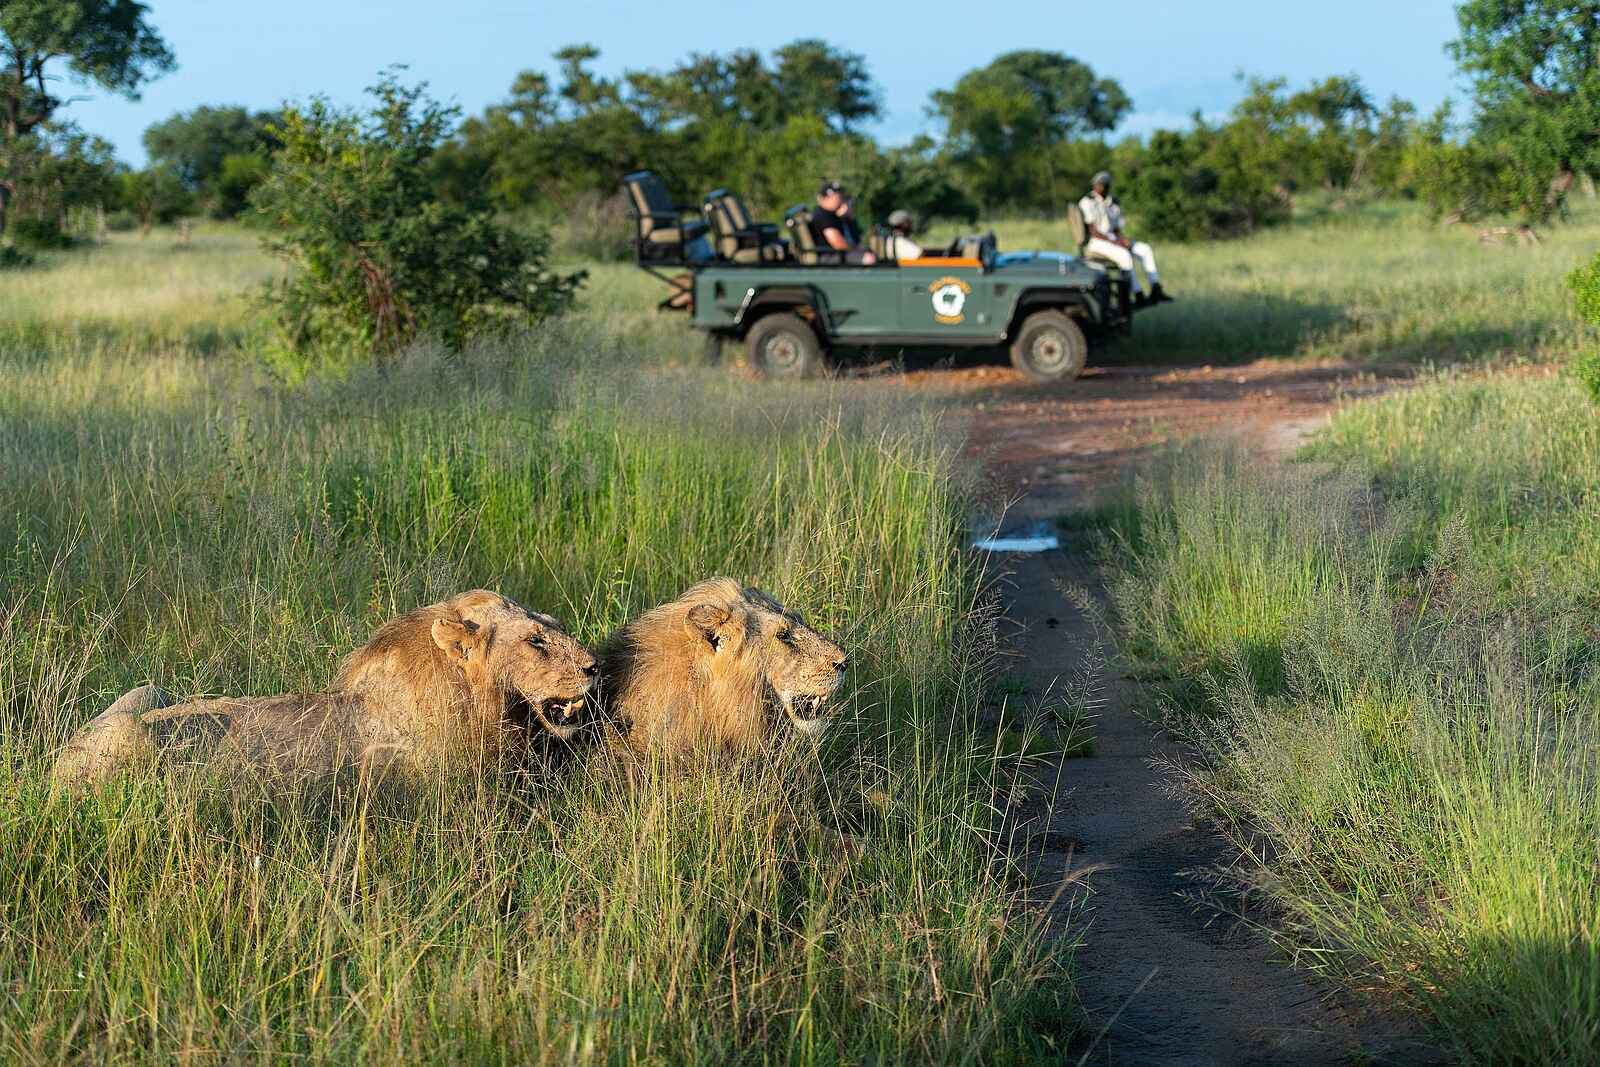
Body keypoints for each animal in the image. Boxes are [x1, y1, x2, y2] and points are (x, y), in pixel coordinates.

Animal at [50, 590, 597, 789]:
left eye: (554, 624)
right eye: (535, 640)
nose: (593, 667)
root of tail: (54, 766)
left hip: (147, 691)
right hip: (130, 733)